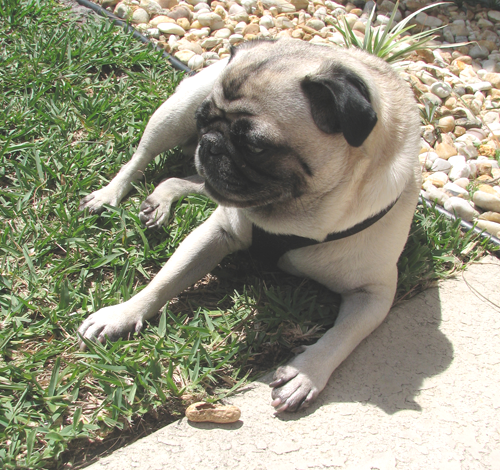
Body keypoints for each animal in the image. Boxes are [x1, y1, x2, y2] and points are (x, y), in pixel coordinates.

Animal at [78, 41, 422, 414]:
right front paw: (122, 314)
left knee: (184, 179)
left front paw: (306, 373)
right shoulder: (215, 234)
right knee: (139, 159)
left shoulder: (373, 293)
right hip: (172, 116)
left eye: (256, 146)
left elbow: (342, 337)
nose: (210, 142)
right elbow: (164, 281)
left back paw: (161, 199)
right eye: (203, 120)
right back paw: (109, 194)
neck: (298, 217)